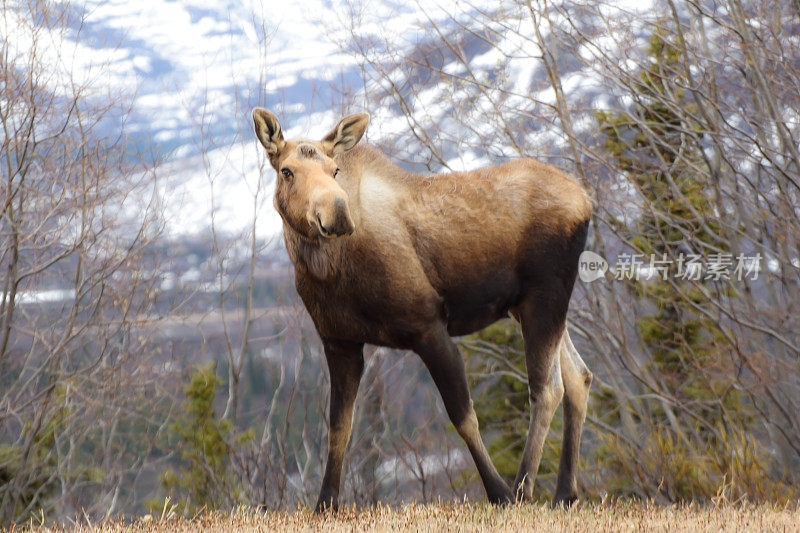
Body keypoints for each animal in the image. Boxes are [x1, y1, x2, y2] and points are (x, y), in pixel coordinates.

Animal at [252, 109, 592, 512]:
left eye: (335, 170)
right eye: (287, 171)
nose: (336, 213)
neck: (327, 272)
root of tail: (586, 200)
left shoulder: (428, 326)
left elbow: (464, 417)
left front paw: (499, 493)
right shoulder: (339, 342)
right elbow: (339, 427)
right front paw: (326, 504)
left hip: (544, 296)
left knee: (548, 388)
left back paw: (523, 488)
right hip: (532, 306)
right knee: (579, 377)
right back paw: (565, 493)